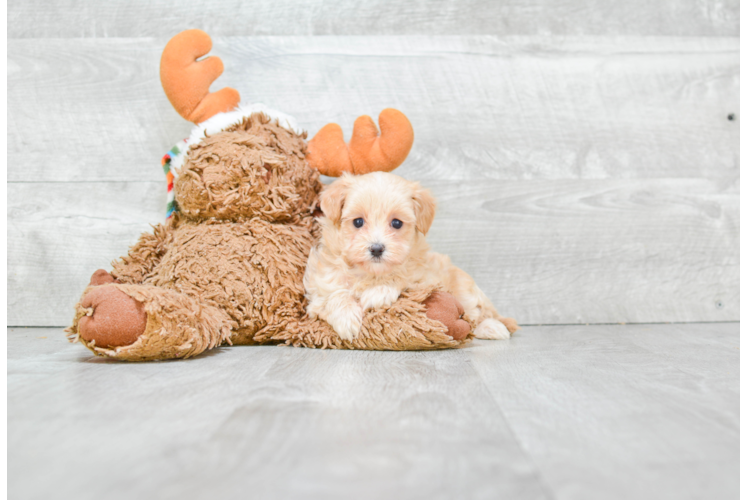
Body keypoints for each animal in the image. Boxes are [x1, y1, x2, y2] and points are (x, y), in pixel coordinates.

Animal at [300, 172, 516, 340]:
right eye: (358, 222)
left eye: (396, 223)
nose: (376, 249)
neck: (370, 273)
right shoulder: (320, 289)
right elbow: (333, 295)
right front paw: (346, 319)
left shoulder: (426, 280)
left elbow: (403, 276)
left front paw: (379, 291)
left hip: (466, 291)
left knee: (475, 315)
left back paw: (492, 327)